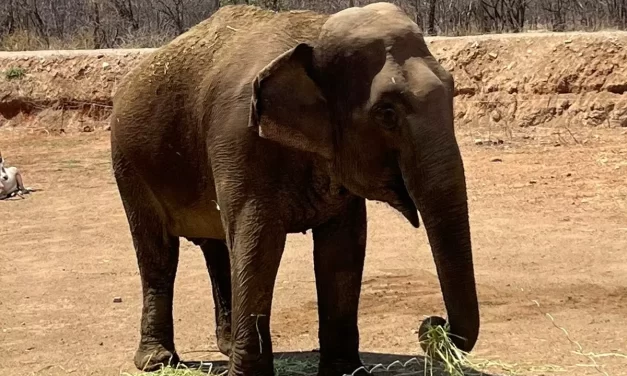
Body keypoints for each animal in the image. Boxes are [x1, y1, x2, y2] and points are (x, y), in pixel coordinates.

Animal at [110, 2, 480, 376]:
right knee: (157, 252)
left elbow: (343, 248)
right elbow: (258, 242)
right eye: (386, 113)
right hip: (128, 162)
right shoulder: (238, 138)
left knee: (217, 246)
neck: (315, 35)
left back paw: (225, 346)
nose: (433, 324)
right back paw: (157, 360)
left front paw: (344, 371)